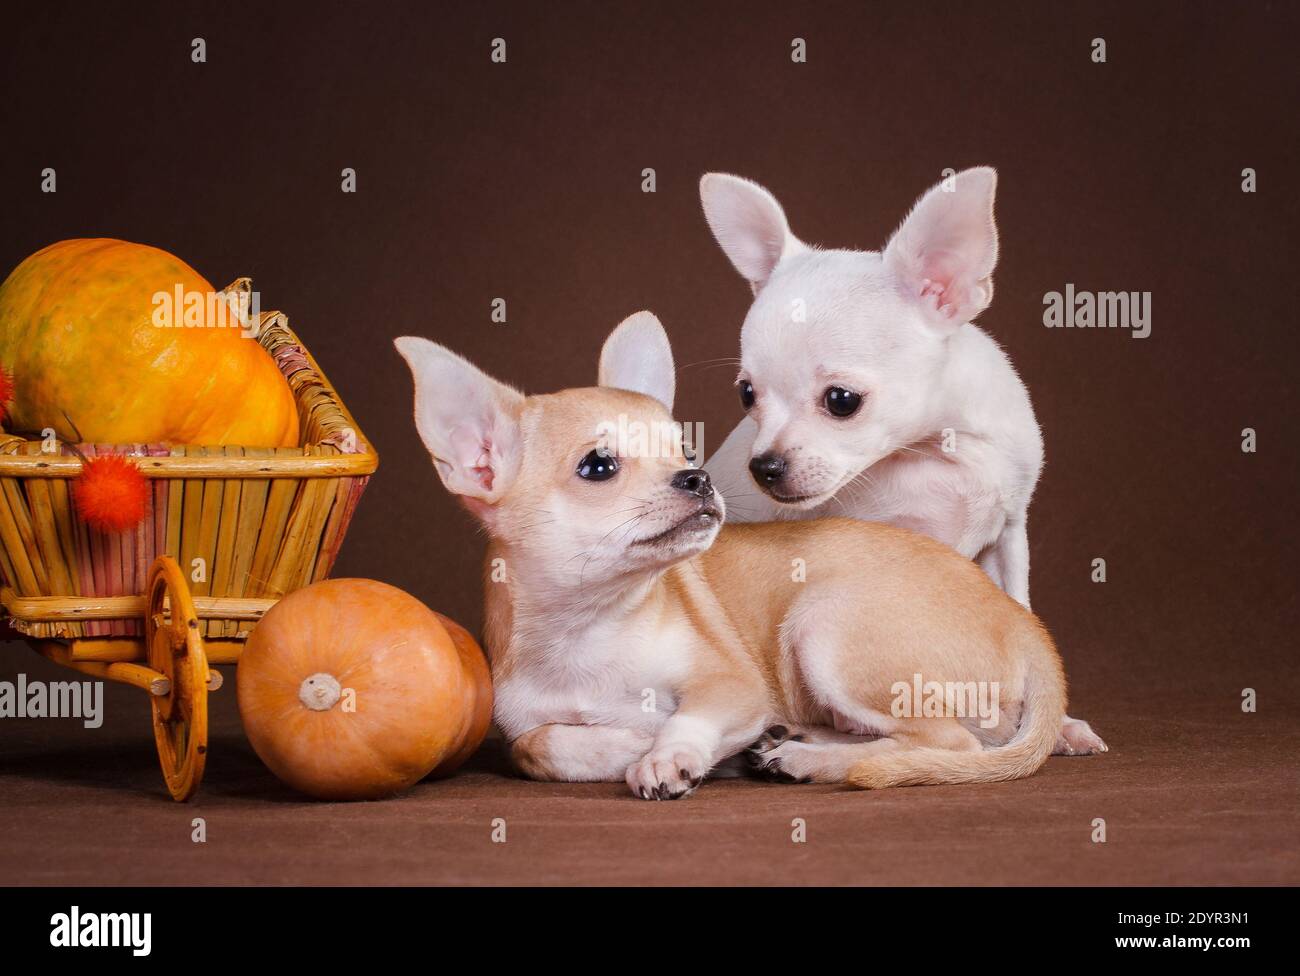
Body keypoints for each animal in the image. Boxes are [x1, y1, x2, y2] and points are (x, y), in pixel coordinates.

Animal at [395, 313, 1076, 800]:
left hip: (823, 624)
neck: (592, 625)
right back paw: (792, 742)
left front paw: (665, 755)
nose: (695, 478)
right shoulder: (525, 723)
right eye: (598, 467)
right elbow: (539, 746)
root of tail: (1024, 624)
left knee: (948, 745)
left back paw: (807, 760)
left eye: (683, 450)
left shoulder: (733, 687)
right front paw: (627, 745)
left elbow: (685, 718)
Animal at [702, 167, 1107, 753]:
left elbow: (1021, 610)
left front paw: (1059, 723)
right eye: (746, 395)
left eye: (841, 401)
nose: (765, 466)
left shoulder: (1009, 535)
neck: (942, 449)